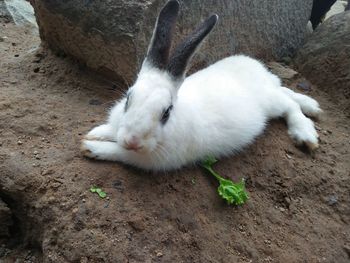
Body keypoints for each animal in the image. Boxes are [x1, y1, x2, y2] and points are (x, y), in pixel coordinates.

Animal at [80, 0, 322, 172]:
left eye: (166, 113)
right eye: (128, 100)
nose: (133, 141)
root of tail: (260, 70)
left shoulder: (150, 159)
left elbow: (120, 153)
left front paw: (91, 147)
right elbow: (111, 131)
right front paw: (97, 132)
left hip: (271, 102)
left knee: (289, 105)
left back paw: (305, 134)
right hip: (272, 90)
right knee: (286, 91)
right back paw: (312, 105)